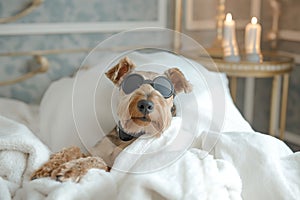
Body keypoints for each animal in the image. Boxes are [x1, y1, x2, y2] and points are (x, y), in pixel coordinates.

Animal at [31, 56, 192, 183]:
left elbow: (97, 161)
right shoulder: (93, 151)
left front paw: (68, 170)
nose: (146, 105)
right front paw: (48, 167)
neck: (126, 136)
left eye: (163, 89)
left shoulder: (112, 169)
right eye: (131, 84)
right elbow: (75, 149)